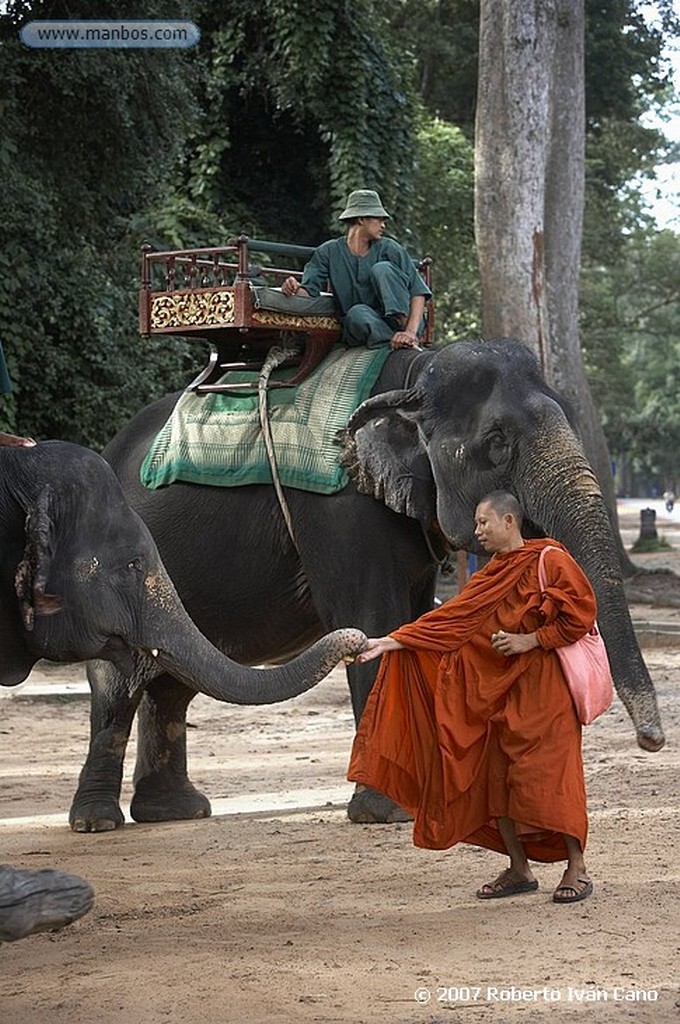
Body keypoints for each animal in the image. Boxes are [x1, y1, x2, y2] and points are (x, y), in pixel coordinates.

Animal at [94, 337, 663, 831]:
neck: (414, 375)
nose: (653, 741)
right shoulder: (338, 509)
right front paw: (388, 813)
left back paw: (174, 813)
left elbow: (417, 621)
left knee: (171, 683)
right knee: (119, 682)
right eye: (497, 443)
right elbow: (370, 617)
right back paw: (101, 821)